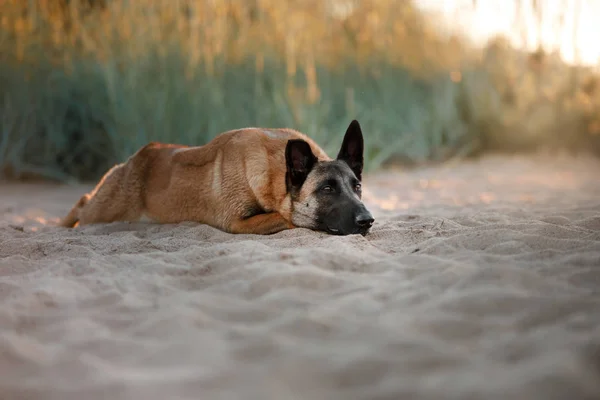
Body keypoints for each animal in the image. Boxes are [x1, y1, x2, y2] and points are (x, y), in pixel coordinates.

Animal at [58, 120, 372, 236]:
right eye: (327, 189)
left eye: (357, 187)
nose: (367, 221)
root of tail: (138, 156)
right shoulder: (237, 223)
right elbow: (287, 218)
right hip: (103, 211)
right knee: (83, 202)